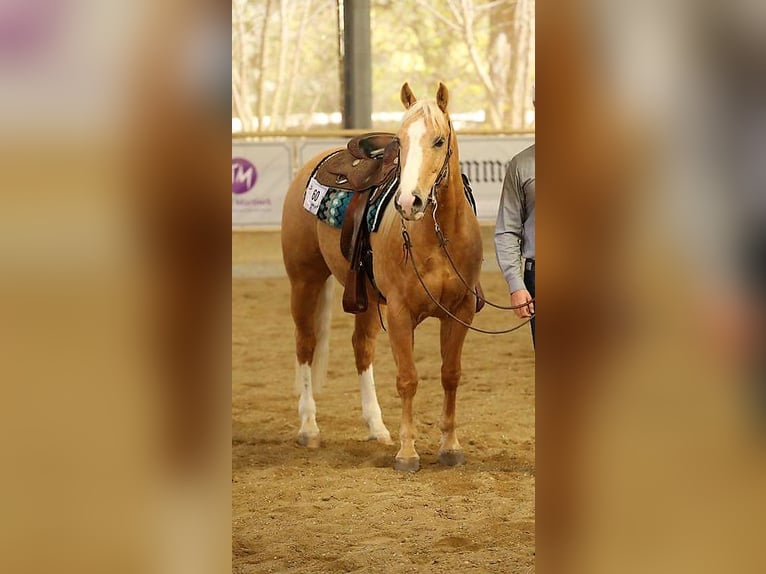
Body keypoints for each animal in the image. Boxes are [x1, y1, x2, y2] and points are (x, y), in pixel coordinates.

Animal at [281, 82, 482, 472]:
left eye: (438, 141)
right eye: (400, 141)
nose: (409, 203)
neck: (436, 235)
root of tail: (314, 163)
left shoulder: (460, 311)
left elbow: (450, 374)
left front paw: (450, 447)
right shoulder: (400, 313)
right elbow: (408, 379)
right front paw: (407, 453)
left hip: (365, 298)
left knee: (362, 348)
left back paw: (377, 427)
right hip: (305, 280)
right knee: (305, 345)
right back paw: (309, 427)